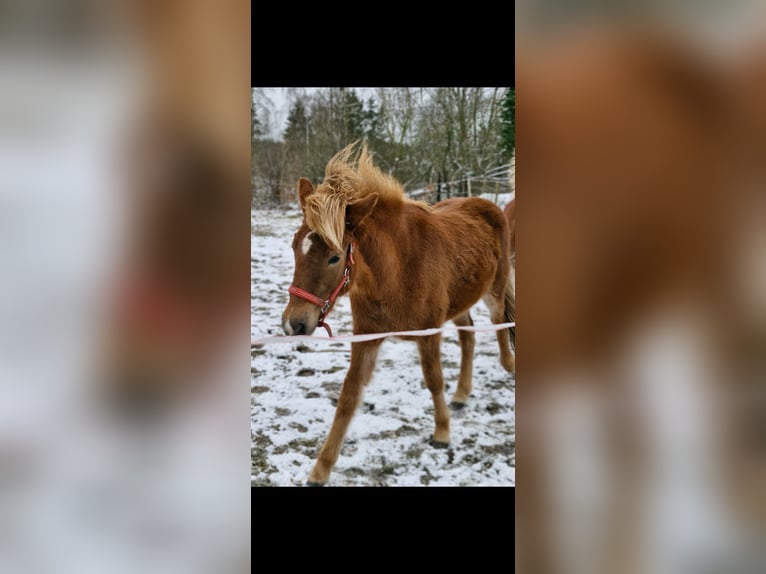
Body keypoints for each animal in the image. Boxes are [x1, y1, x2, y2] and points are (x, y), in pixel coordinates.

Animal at [282, 143, 516, 486]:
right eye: (294, 245)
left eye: (334, 257)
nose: (294, 323)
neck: (397, 270)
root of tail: (488, 205)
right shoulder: (366, 338)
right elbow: (349, 395)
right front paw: (321, 468)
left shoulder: (429, 332)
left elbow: (434, 380)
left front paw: (442, 433)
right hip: (460, 303)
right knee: (468, 335)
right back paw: (462, 394)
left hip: (493, 292)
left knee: (499, 322)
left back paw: (508, 365)